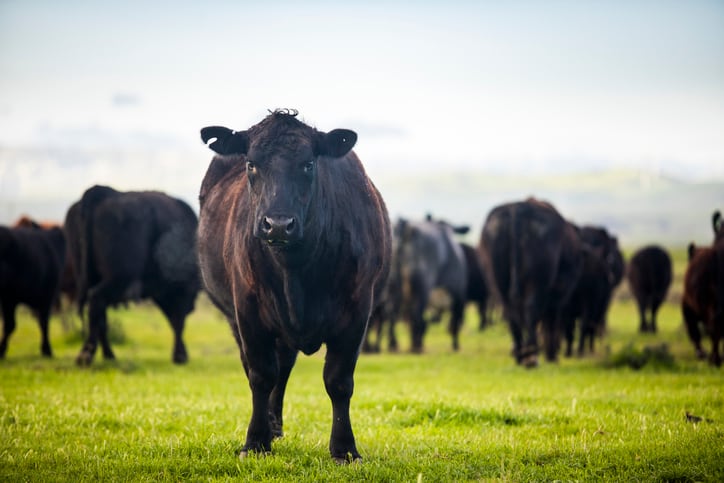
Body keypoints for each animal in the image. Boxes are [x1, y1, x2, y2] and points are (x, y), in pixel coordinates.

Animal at [66, 185, 201, 366]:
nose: (193, 308)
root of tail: (103, 192)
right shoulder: (181, 292)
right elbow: (178, 321)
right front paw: (180, 355)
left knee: (99, 315)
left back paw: (108, 355)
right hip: (118, 279)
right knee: (96, 302)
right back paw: (86, 355)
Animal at [197, 109, 391, 462]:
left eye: (308, 164)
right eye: (251, 164)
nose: (278, 224)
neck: (296, 272)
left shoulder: (358, 310)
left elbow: (339, 381)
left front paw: (344, 448)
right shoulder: (247, 311)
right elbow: (261, 375)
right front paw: (255, 441)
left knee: (284, 366)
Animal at [394, 217, 469, 352]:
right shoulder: (459, 295)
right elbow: (454, 323)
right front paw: (455, 346)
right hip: (422, 290)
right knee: (417, 317)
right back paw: (417, 347)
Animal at [479, 198, 583, 367]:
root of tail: (518, 208)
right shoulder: (560, 293)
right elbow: (551, 321)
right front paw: (551, 355)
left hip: (499, 283)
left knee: (511, 313)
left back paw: (520, 354)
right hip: (538, 284)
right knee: (531, 310)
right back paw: (532, 356)